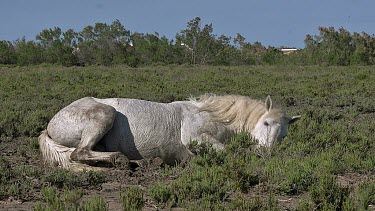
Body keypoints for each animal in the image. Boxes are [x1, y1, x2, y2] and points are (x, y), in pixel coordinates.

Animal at [39, 95, 302, 169]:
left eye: (284, 135)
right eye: (266, 124)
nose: (267, 153)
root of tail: (50, 124)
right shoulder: (195, 138)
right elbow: (226, 151)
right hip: (104, 114)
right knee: (79, 153)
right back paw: (123, 160)